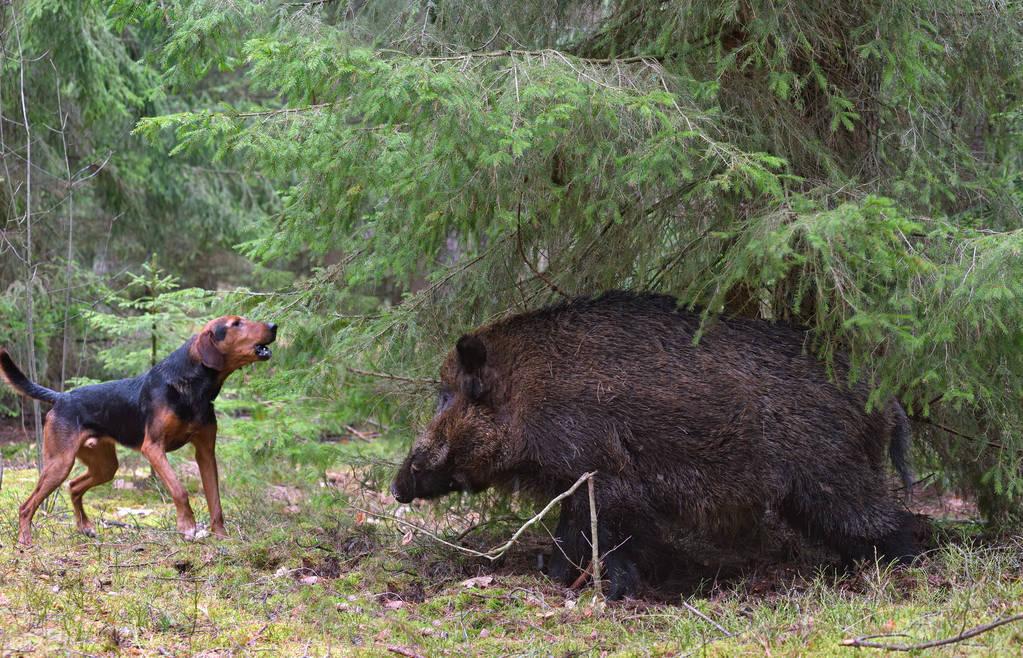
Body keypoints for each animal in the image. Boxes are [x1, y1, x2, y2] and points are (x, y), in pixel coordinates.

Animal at [0, 317, 278, 544]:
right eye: (235, 323)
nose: (274, 326)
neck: (193, 387)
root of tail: (61, 397)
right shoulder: (153, 447)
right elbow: (180, 490)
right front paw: (187, 527)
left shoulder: (206, 452)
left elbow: (216, 501)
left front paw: (221, 537)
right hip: (60, 462)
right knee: (26, 506)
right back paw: (25, 541)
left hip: (104, 466)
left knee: (74, 486)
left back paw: (85, 527)